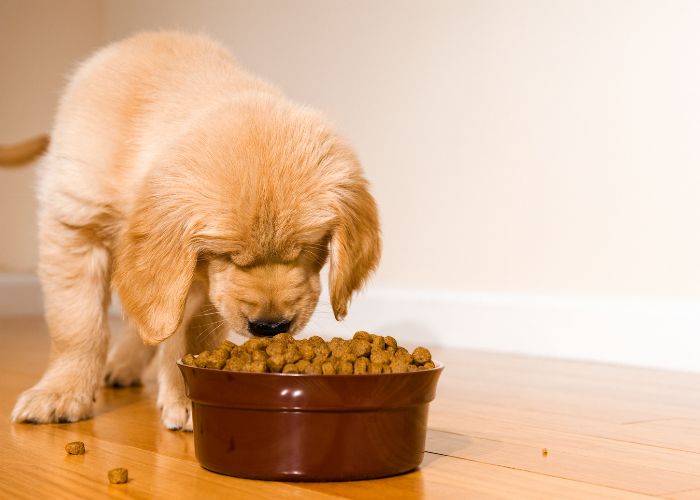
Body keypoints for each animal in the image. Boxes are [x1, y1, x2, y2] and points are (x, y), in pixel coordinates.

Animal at [10, 30, 380, 430]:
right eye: (228, 255)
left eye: (309, 249)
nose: (270, 327)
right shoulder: (75, 223)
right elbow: (77, 325)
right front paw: (61, 393)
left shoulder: (198, 280)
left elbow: (188, 332)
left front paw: (187, 396)